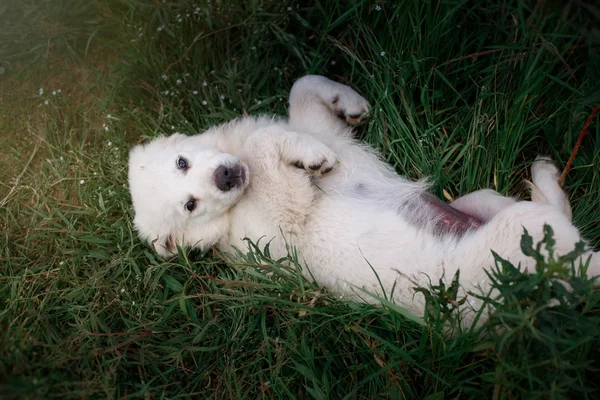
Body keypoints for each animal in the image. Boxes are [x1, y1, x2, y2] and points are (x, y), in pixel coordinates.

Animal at [129, 74, 596, 318]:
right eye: (190, 206)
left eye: (182, 162)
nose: (227, 176)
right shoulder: (283, 220)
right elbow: (266, 145)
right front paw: (313, 157)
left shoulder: (321, 129)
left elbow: (302, 87)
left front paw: (349, 103)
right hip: (527, 232)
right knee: (571, 235)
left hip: (478, 201)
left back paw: (543, 173)